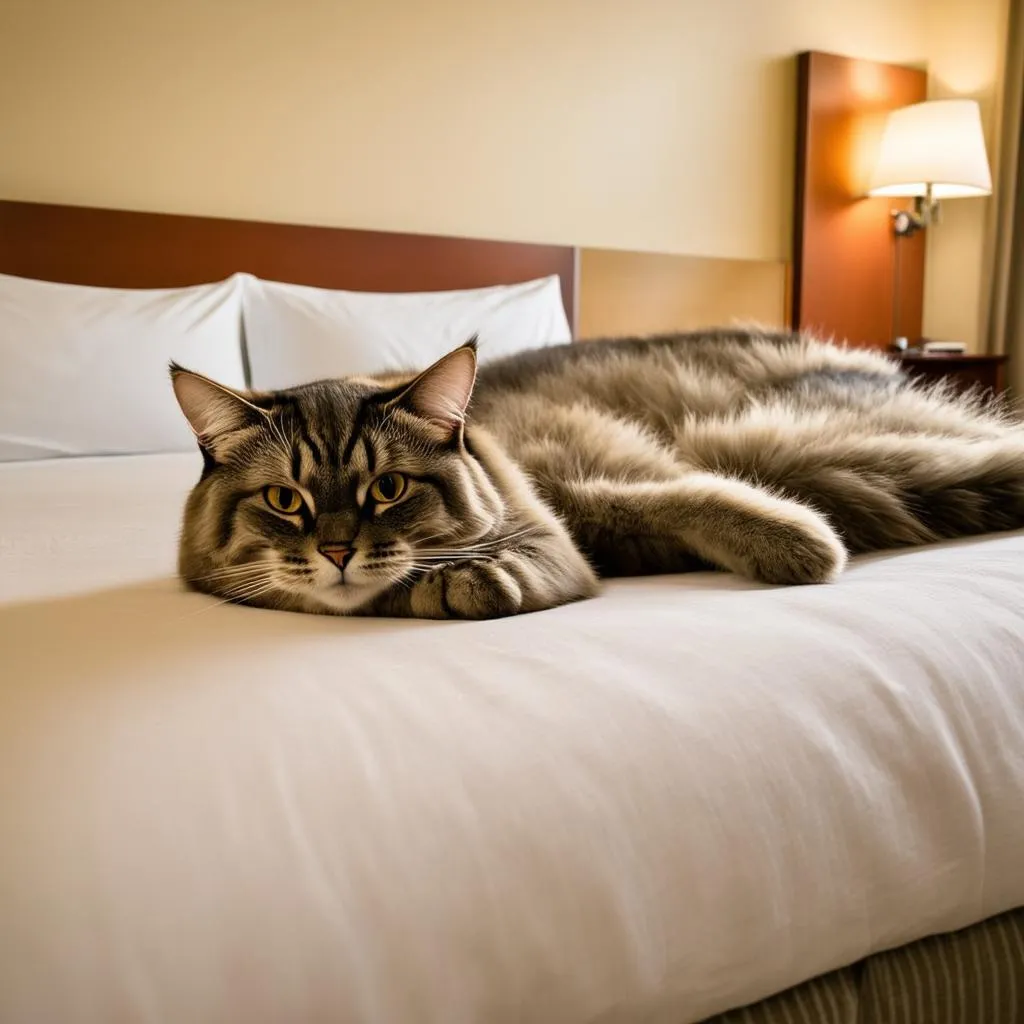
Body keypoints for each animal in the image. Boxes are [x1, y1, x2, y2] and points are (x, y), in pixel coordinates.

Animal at [169, 329, 1024, 614]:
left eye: (388, 489)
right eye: (285, 501)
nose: (339, 550)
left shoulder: (582, 483)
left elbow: (673, 496)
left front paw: (799, 544)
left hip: (798, 441)